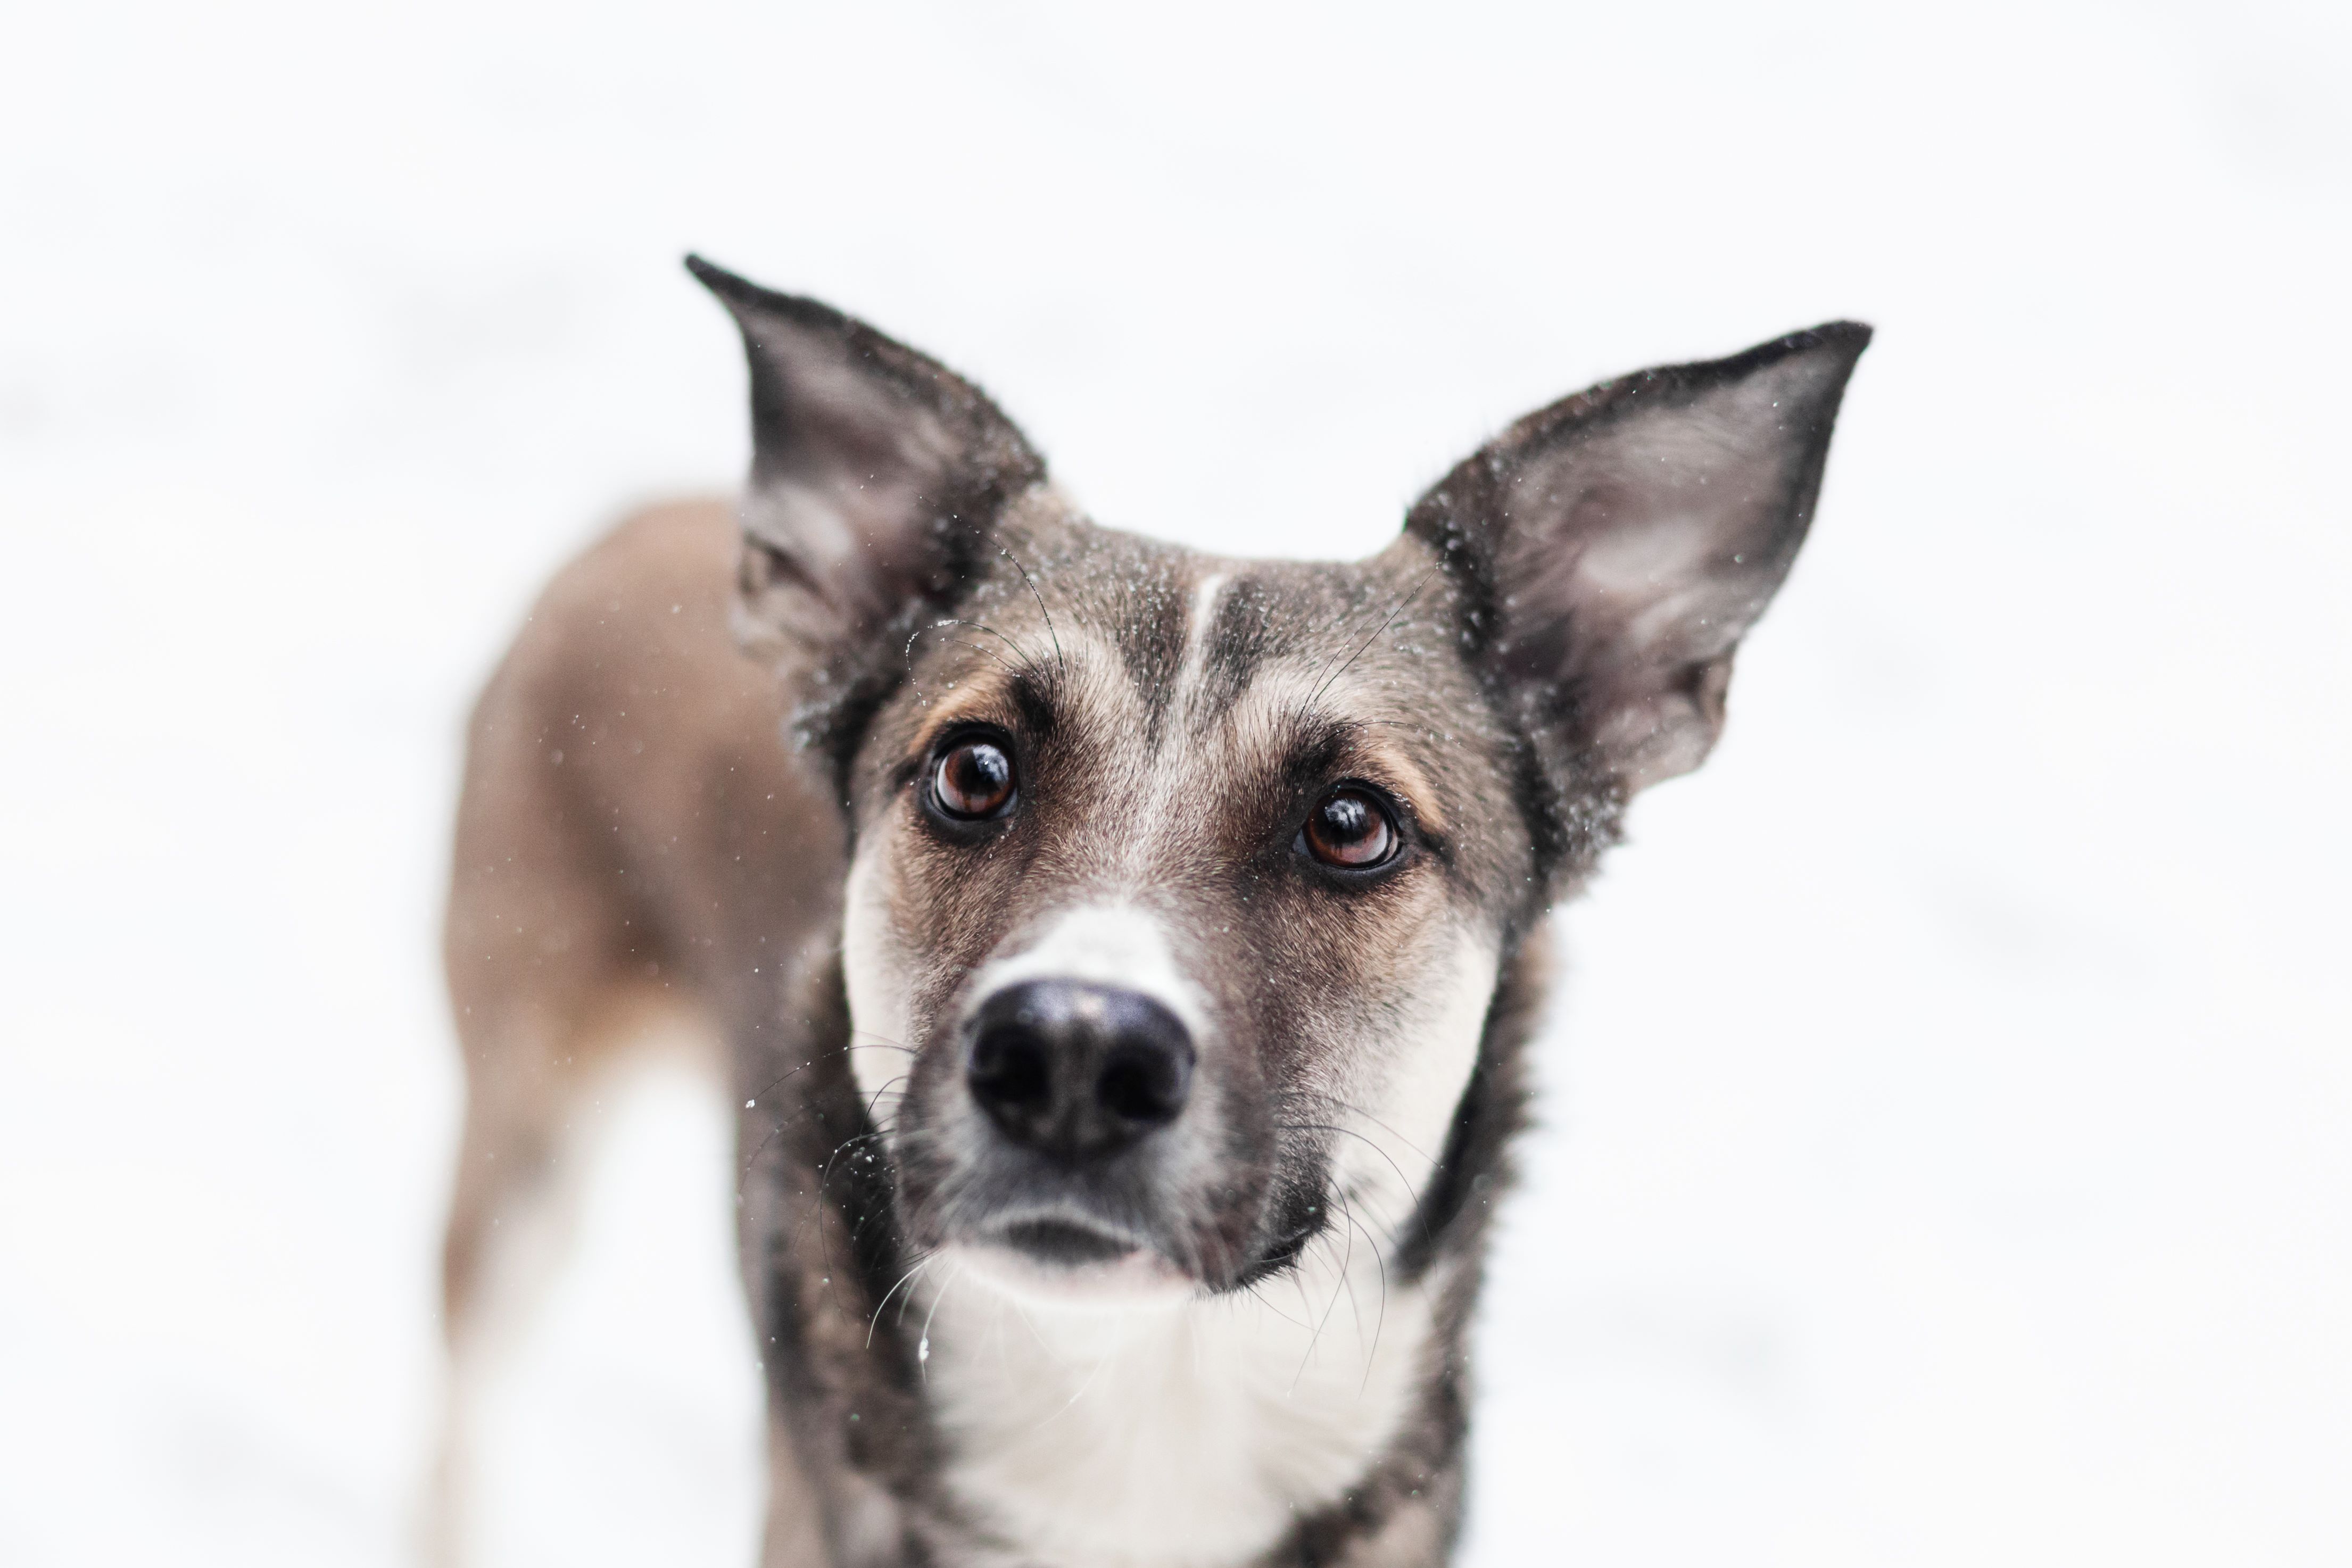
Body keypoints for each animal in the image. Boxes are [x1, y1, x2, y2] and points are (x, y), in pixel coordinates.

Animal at [437, 261, 1872, 1568]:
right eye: (973, 770)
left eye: (1352, 824)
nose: (1074, 1056)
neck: (1140, 1410)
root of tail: (639, 511)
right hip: (521, 1134)